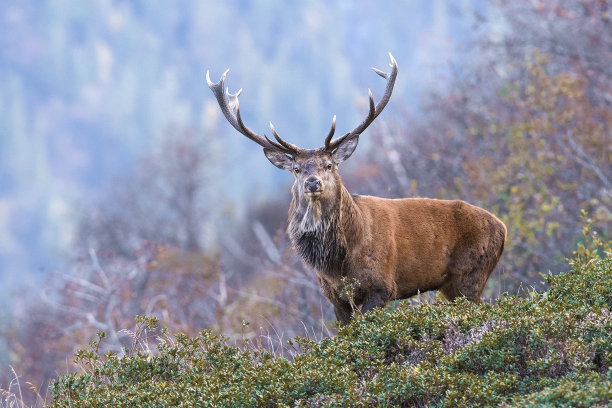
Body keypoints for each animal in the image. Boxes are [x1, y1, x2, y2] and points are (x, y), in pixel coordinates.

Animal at [206, 53, 506, 322]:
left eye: (329, 165)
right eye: (296, 169)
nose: (312, 182)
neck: (338, 263)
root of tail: (503, 228)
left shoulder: (382, 286)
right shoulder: (335, 297)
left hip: (470, 274)